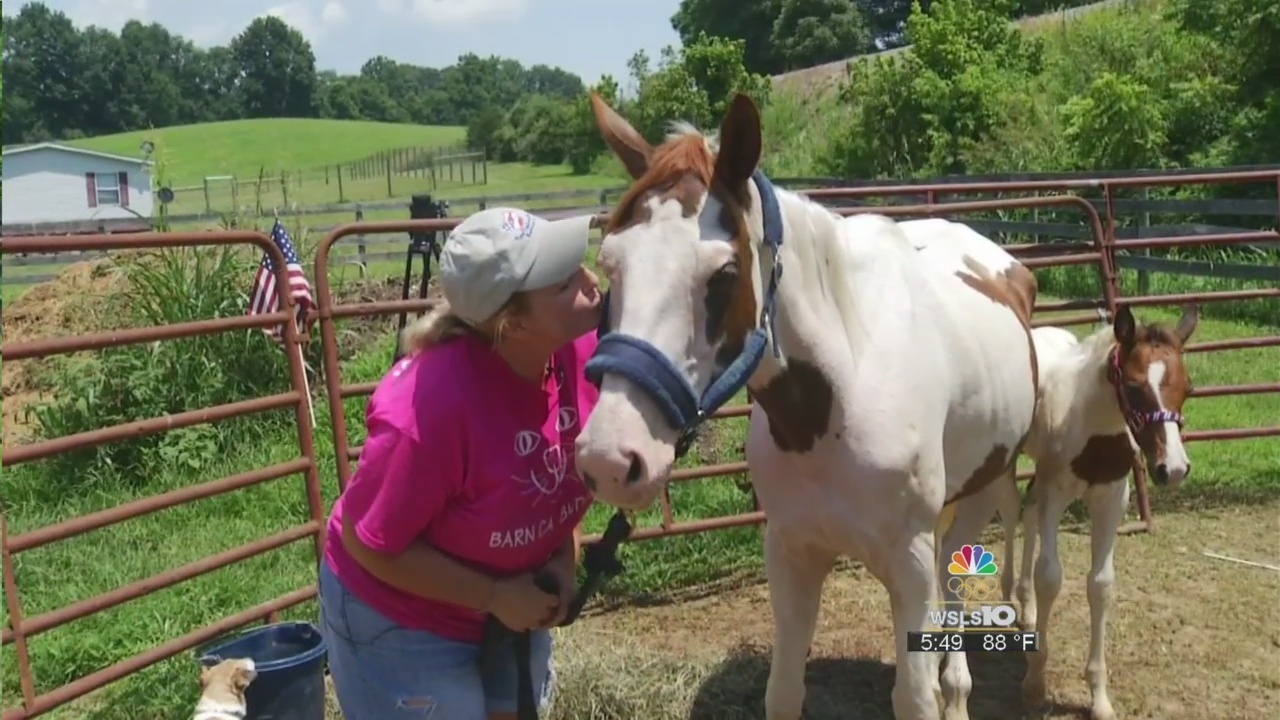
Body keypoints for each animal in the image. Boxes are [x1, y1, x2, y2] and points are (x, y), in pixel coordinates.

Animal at [572, 92, 1040, 720]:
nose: (609, 458)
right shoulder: (791, 552)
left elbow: (915, 696)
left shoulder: (909, 563)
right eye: (611, 266)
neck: (834, 404)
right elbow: (784, 691)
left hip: (980, 493)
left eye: (723, 274)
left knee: (955, 581)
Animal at [990, 304, 1198, 720]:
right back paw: (1008, 597)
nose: (1173, 469)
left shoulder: (1111, 499)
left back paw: (1027, 608)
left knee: (1029, 511)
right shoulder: (1058, 492)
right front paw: (1035, 682)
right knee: (1012, 510)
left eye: (1188, 388)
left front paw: (1099, 697)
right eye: (1133, 386)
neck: (1094, 428)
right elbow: (1050, 577)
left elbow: (1101, 585)